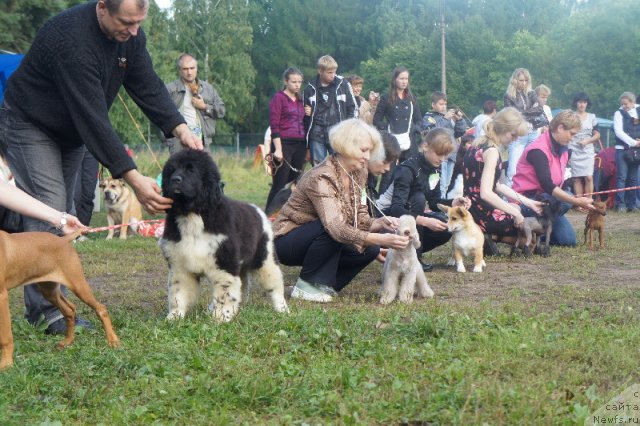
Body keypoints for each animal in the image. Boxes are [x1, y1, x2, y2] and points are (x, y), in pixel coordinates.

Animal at [0, 230, 120, 370]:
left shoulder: (2, 296)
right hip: (49, 291)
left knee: (101, 308)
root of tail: (62, 240)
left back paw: (113, 341)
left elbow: (6, 337)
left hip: (78, 286)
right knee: (69, 310)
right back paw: (67, 341)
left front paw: (6, 363)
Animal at [160, 150, 290, 322]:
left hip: (265, 260)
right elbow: (178, 294)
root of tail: (259, 211)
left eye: (191, 170)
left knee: (275, 286)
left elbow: (224, 293)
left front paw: (221, 317)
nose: (175, 179)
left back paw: (282, 309)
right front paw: (175, 316)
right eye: (171, 170)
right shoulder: (181, 265)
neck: (193, 214)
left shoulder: (224, 264)